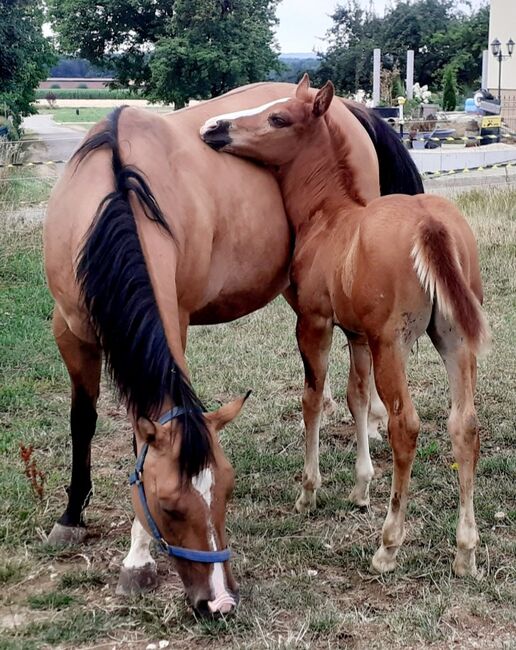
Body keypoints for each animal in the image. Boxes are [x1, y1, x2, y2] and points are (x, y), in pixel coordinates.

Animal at [43, 81, 424, 612]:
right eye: (168, 505)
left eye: (225, 491)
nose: (220, 601)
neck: (113, 193)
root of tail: (348, 108)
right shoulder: (70, 331)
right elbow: (83, 420)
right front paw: (72, 514)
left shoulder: (175, 320)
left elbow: (141, 431)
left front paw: (136, 558)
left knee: (360, 375)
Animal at [200, 73, 490, 576]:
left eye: (278, 117)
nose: (213, 127)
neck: (328, 216)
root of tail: (430, 224)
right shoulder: (356, 334)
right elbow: (357, 399)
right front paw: (360, 488)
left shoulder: (314, 324)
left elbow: (314, 400)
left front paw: (308, 491)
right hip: (453, 340)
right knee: (464, 426)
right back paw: (465, 552)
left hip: (393, 343)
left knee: (405, 426)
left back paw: (388, 545)